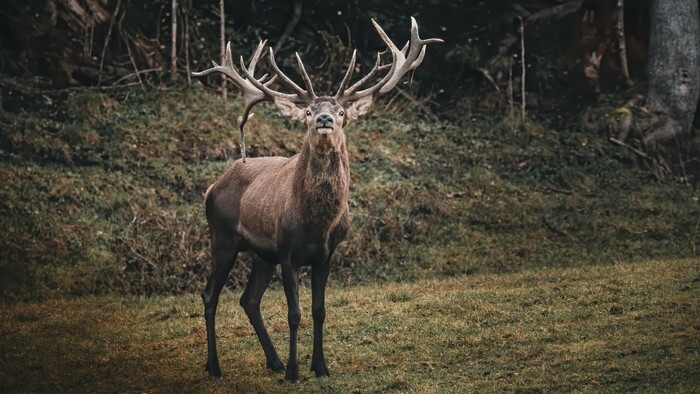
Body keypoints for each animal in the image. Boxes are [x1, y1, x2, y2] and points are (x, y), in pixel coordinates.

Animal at [194, 16, 440, 380]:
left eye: (341, 112)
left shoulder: (326, 254)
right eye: (308, 111)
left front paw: (320, 366)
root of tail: (212, 187)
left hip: (261, 254)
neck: (316, 224)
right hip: (223, 237)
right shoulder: (286, 252)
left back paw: (273, 361)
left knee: (248, 300)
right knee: (210, 294)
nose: (324, 119)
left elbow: (319, 310)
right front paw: (295, 371)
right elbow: (294, 314)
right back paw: (214, 366)